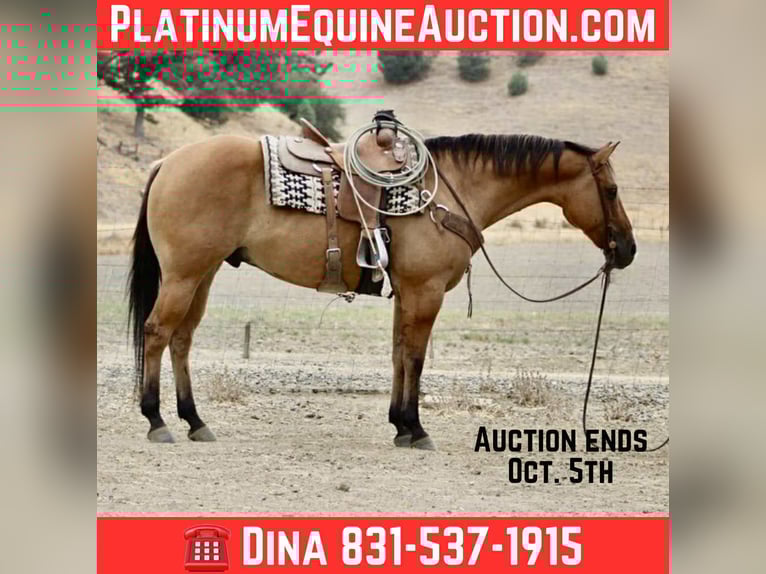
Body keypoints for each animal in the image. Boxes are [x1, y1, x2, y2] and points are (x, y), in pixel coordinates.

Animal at [128, 132, 635, 449]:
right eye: (611, 190)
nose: (627, 249)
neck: (447, 192)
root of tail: (167, 162)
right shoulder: (427, 292)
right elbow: (416, 357)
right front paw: (416, 428)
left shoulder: (408, 293)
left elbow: (398, 354)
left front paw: (399, 427)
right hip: (184, 274)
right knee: (157, 332)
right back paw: (156, 420)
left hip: (203, 273)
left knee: (181, 338)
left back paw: (195, 421)